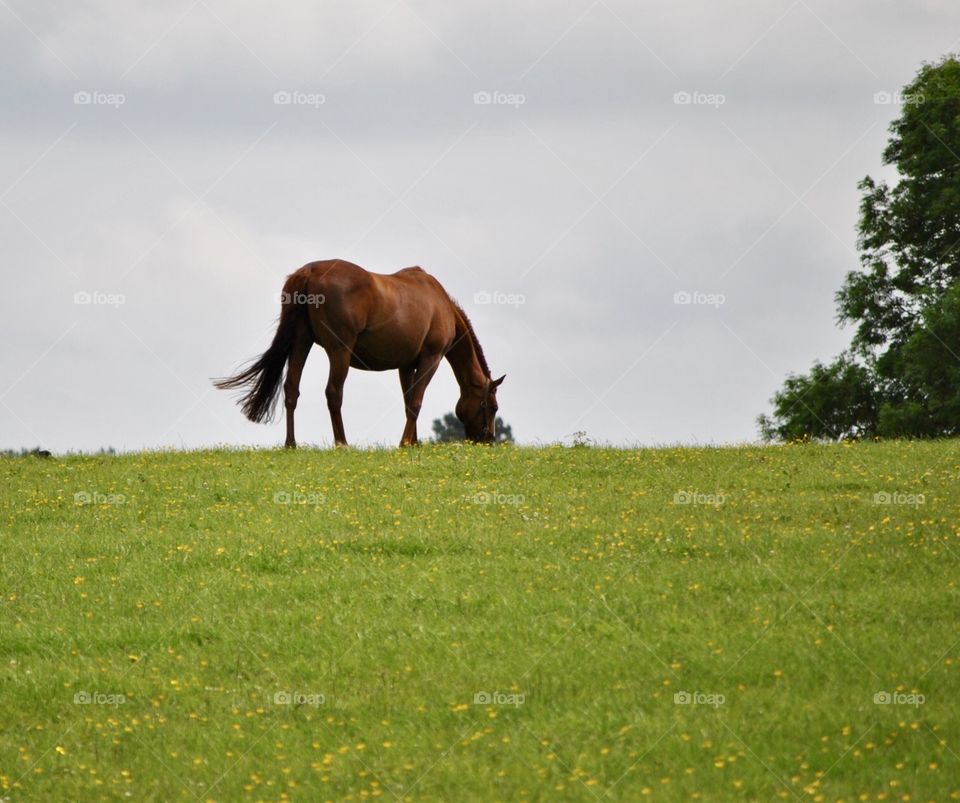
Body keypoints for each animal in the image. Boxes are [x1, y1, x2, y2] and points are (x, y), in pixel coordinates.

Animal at [215, 260, 506, 450]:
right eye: (492, 407)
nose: (489, 440)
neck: (438, 302)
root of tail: (310, 271)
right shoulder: (430, 359)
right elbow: (415, 402)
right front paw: (405, 443)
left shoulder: (405, 365)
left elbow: (407, 401)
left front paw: (413, 442)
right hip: (339, 352)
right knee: (333, 393)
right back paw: (342, 442)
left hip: (301, 344)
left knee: (291, 389)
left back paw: (291, 444)